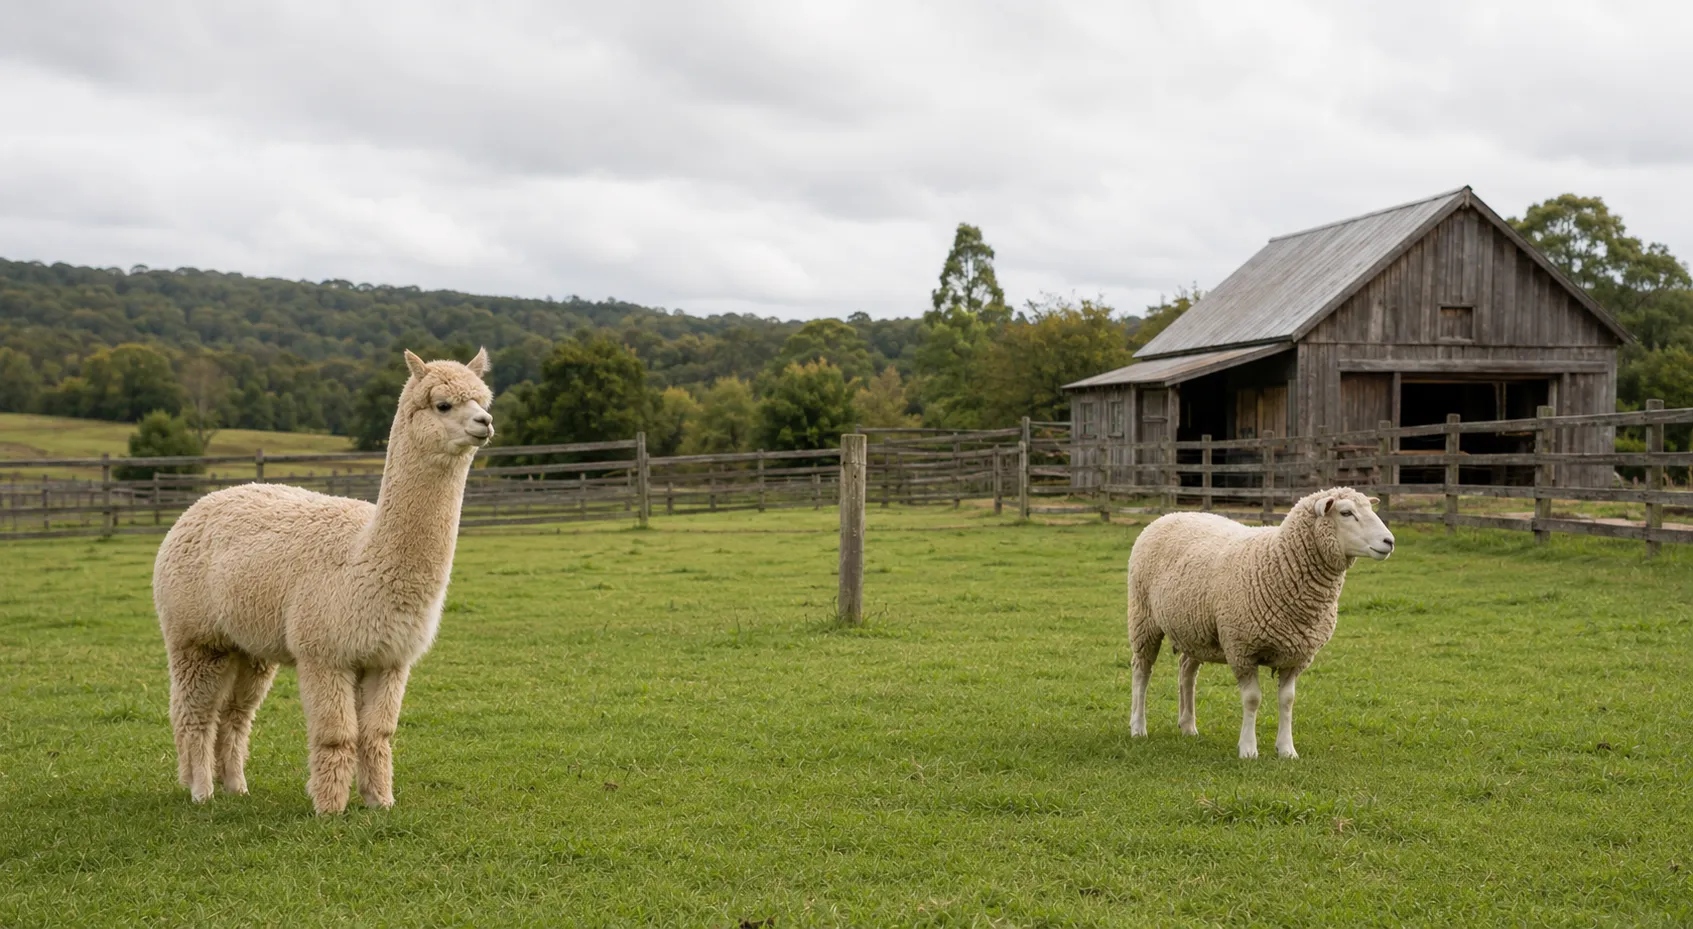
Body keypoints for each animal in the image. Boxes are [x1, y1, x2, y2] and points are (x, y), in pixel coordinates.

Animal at [152, 348, 493, 813]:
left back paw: (235, 786)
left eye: (483, 399)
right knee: (194, 713)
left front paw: (380, 801)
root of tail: (196, 506)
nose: (485, 423)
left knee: (235, 715)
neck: (364, 557)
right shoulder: (325, 653)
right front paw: (329, 807)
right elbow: (336, 733)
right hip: (195, 636)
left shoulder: (388, 658)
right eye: (443, 404)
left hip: (249, 645)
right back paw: (201, 790)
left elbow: (377, 733)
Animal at [1125, 487, 1394, 759]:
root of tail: (1171, 515)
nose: (1389, 541)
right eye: (1346, 512)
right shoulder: (1241, 649)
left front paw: (1286, 749)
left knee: (1186, 672)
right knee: (1141, 671)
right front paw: (1248, 749)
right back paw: (1138, 727)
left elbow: (1287, 700)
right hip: (1143, 618)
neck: (1278, 562)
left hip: (1194, 629)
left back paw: (1188, 725)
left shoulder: (1296, 655)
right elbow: (1252, 699)